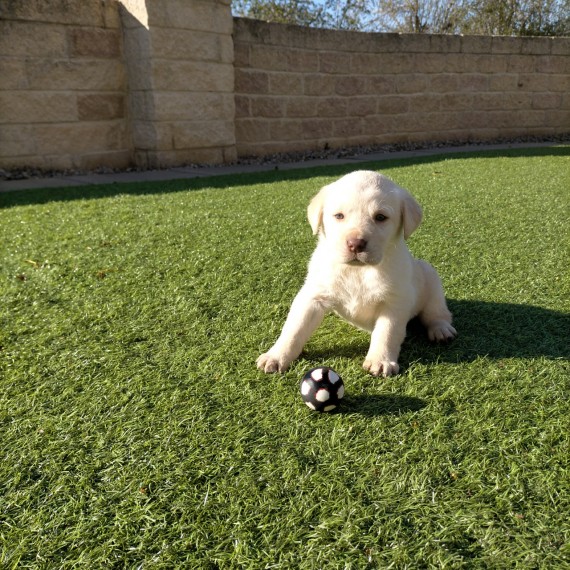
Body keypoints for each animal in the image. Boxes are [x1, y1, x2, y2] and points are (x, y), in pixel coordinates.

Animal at [255, 171, 454, 380]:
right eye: (339, 216)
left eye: (380, 217)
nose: (355, 244)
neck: (357, 270)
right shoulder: (313, 296)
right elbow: (294, 328)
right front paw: (276, 356)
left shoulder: (395, 302)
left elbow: (387, 332)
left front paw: (380, 360)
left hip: (430, 277)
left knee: (436, 312)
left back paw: (441, 329)